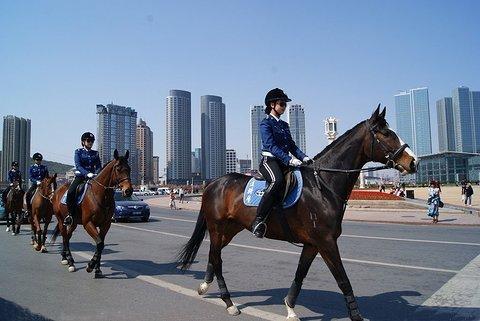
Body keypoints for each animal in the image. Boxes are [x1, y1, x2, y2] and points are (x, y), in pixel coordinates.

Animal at [176, 107, 416, 320]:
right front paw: (355, 315)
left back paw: (205, 286)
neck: (322, 185)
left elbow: (300, 274)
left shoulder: (312, 243)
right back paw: (229, 302)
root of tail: (213, 183)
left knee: (213, 255)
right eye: (386, 133)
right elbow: (343, 280)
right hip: (217, 227)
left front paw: (290, 308)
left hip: (230, 229)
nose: (413, 161)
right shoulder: (326, 242)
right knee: (217, 259)